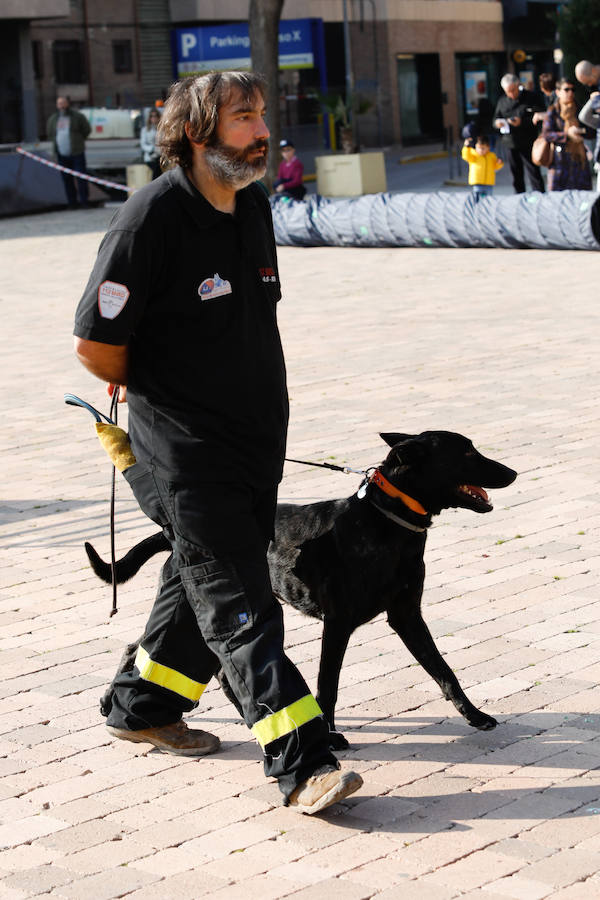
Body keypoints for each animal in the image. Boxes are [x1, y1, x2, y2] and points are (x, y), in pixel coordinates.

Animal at [88, 432, 516, 748]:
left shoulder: (407, 616)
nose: (512, 472)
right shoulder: (338, 624)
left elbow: (443, 670)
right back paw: (112, 702)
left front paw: (475, 715)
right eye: (466, 451)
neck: (385, 521)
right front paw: (329, 734)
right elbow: (328, 685)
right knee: (138, 647)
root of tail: (171, 536)